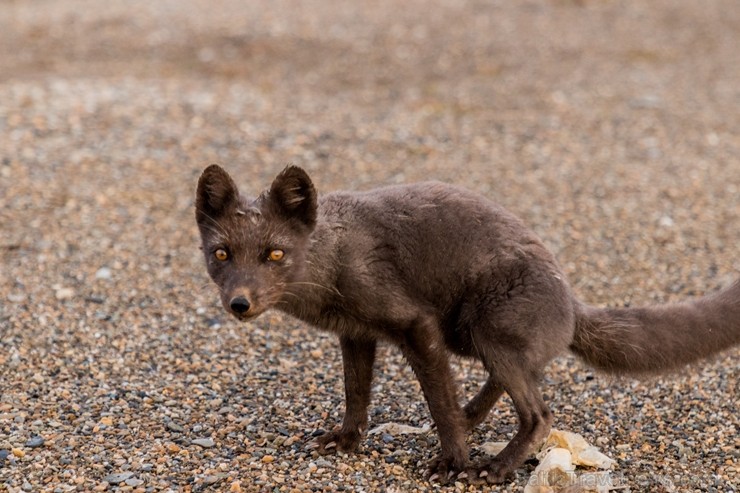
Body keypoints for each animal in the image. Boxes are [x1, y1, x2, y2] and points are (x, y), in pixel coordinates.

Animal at [194, 163, 736, 482]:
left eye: (275, 254)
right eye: (221, 254)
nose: (239, 303)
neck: (334, 256)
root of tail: (571, 303)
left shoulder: (417, 325)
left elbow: (436, 402)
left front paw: (451, 462)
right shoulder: (357, 334)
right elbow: (356, 395)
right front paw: (347, 441)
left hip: (484, 328)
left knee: (539, 412)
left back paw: (494, 467)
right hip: (473, 338)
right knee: (516, 383)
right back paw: (473, 417)